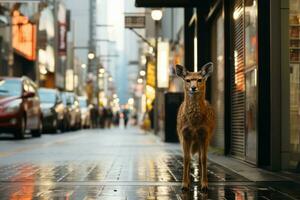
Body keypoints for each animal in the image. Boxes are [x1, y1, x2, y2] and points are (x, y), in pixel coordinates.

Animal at [176, 62, 216, 192]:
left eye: (199, 79)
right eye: (187, 80)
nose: (193, 88)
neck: (194, 123)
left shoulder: (205, 134)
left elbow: (203, 158)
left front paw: (204, 185)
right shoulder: (184, 134)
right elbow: (186, 158)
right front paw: (184, 184)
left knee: (199, 158)